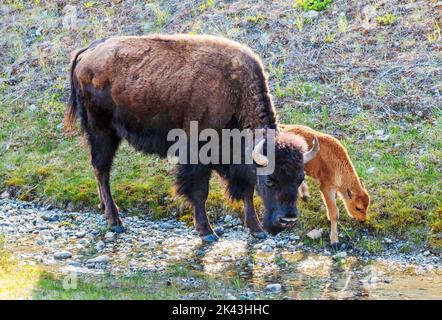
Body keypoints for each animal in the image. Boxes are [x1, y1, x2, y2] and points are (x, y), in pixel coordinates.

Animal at [66, 34, 318, 242]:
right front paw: (207, 232)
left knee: (99, 169)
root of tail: (87, 52)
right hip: (102, 130)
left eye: (299, 179)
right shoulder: (197, 155)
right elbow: (199, 192)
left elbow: (246, 191)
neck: (234, 93)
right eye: (270, 180)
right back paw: (115, 221)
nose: (287, 220)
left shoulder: (239, 163)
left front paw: (256, 229)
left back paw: (105, 209)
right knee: (102, 169)